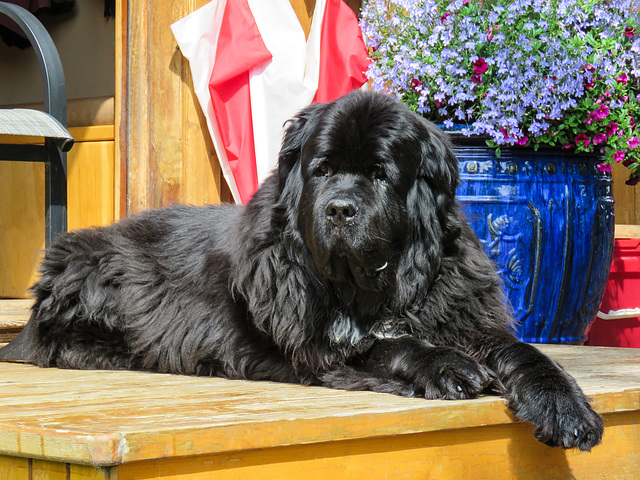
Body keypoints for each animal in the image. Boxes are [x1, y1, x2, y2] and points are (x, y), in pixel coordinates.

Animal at [0, 90, 604, 450]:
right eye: (323, 169)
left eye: (379, 174)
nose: (339, 209)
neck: (375, 289)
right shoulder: (319, 344)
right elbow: (385, 345)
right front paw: (446, 368)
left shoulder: (463, 315)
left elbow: (523, 354)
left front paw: (567, 407)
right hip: (97, 268)